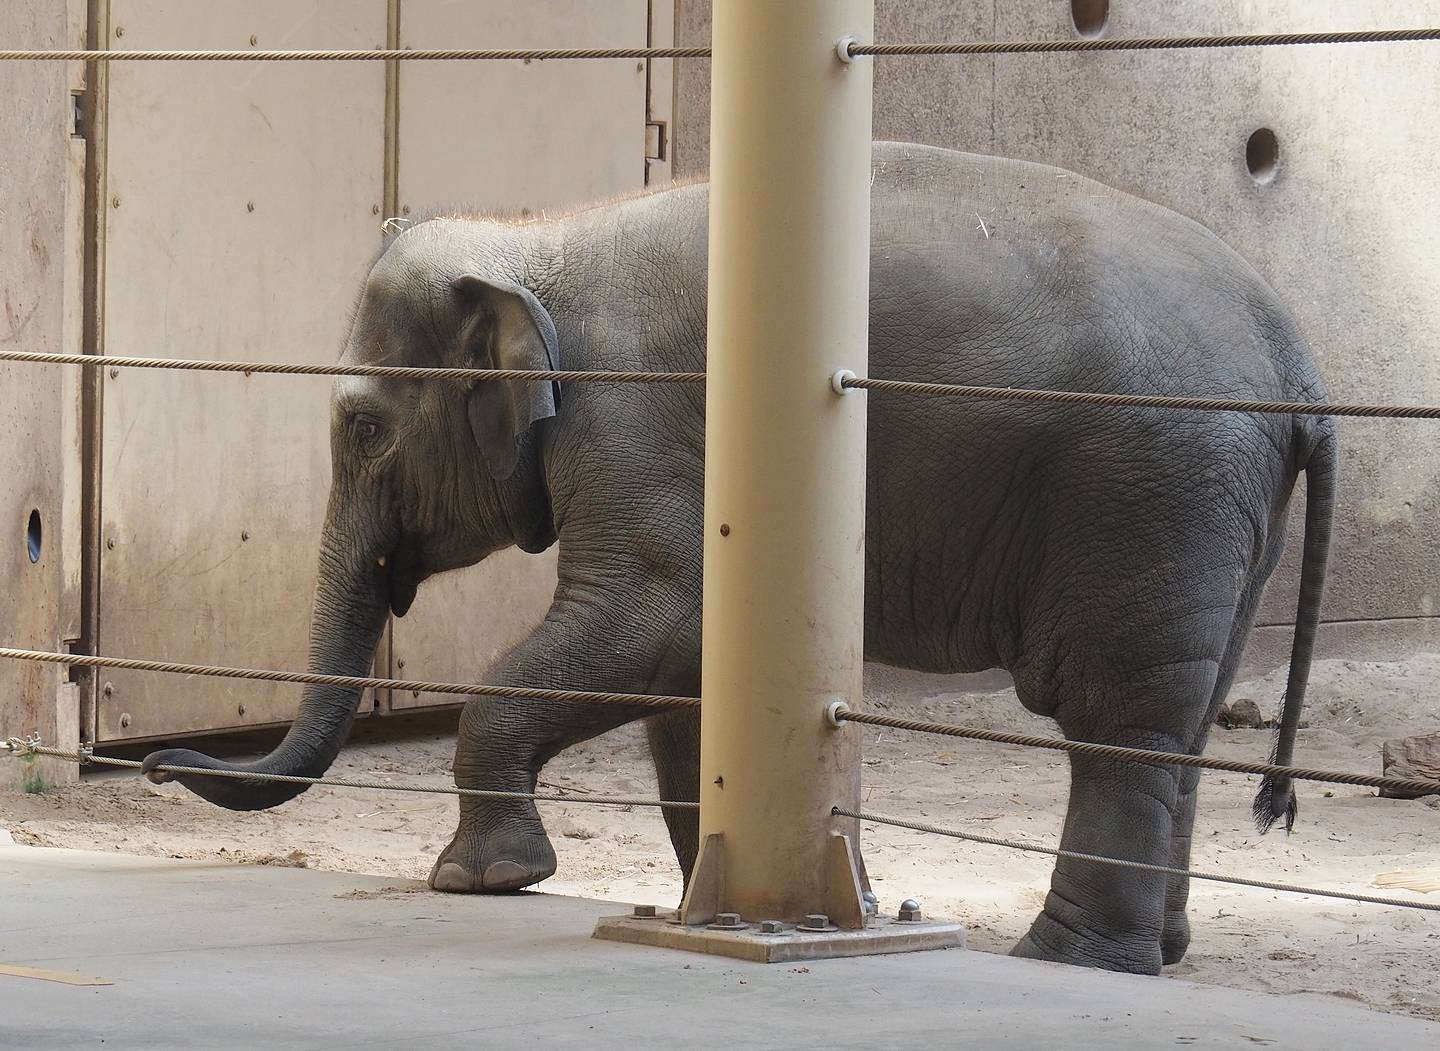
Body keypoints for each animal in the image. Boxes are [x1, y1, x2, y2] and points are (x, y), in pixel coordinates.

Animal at [143, 142, 1335, 976]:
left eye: (361, 429)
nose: (156, 763)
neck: (540, 239)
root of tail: (1299, 359)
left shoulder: (636, 426)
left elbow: (656, 623)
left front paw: (484, 880)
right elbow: (690, 674)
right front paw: (723, 904)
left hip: (1148, 491)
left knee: (1117, 719)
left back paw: (1069, 960)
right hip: (1219, 513)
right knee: (1183, 720)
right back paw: (1158, 954)